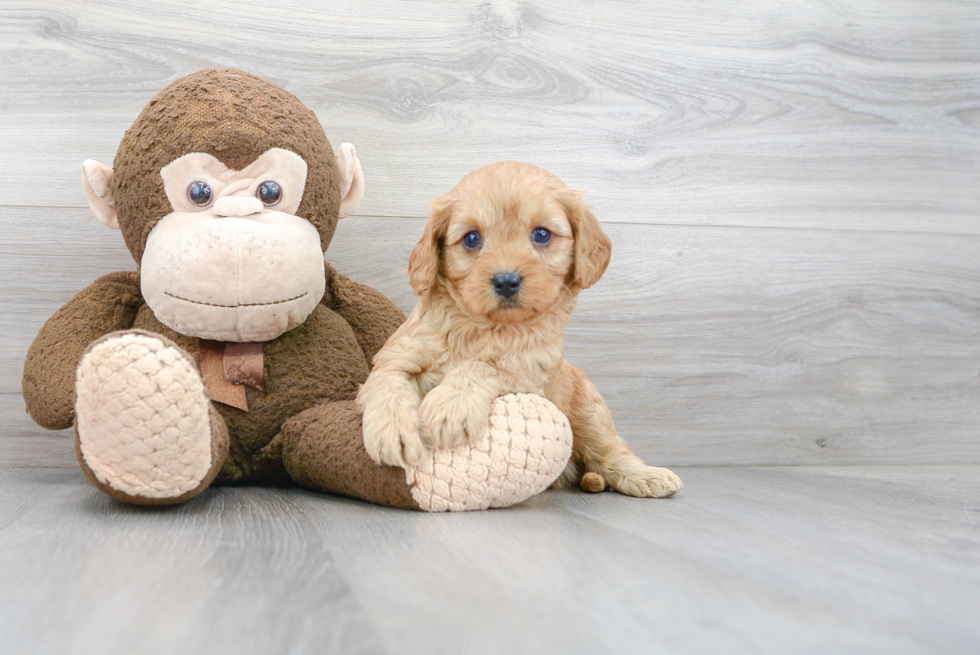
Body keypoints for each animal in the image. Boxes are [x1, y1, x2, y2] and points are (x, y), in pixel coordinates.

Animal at [356, 163, 684, 498]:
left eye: (541, 234)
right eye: (471, 238)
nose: (506, 281)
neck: (483, 327)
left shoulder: (527, 372)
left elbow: (482, 366)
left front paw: (450, 407)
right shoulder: (397, 355)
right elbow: (388, 383)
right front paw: (391, 432)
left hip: (591, 413)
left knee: (610, 452)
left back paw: (648, 476)